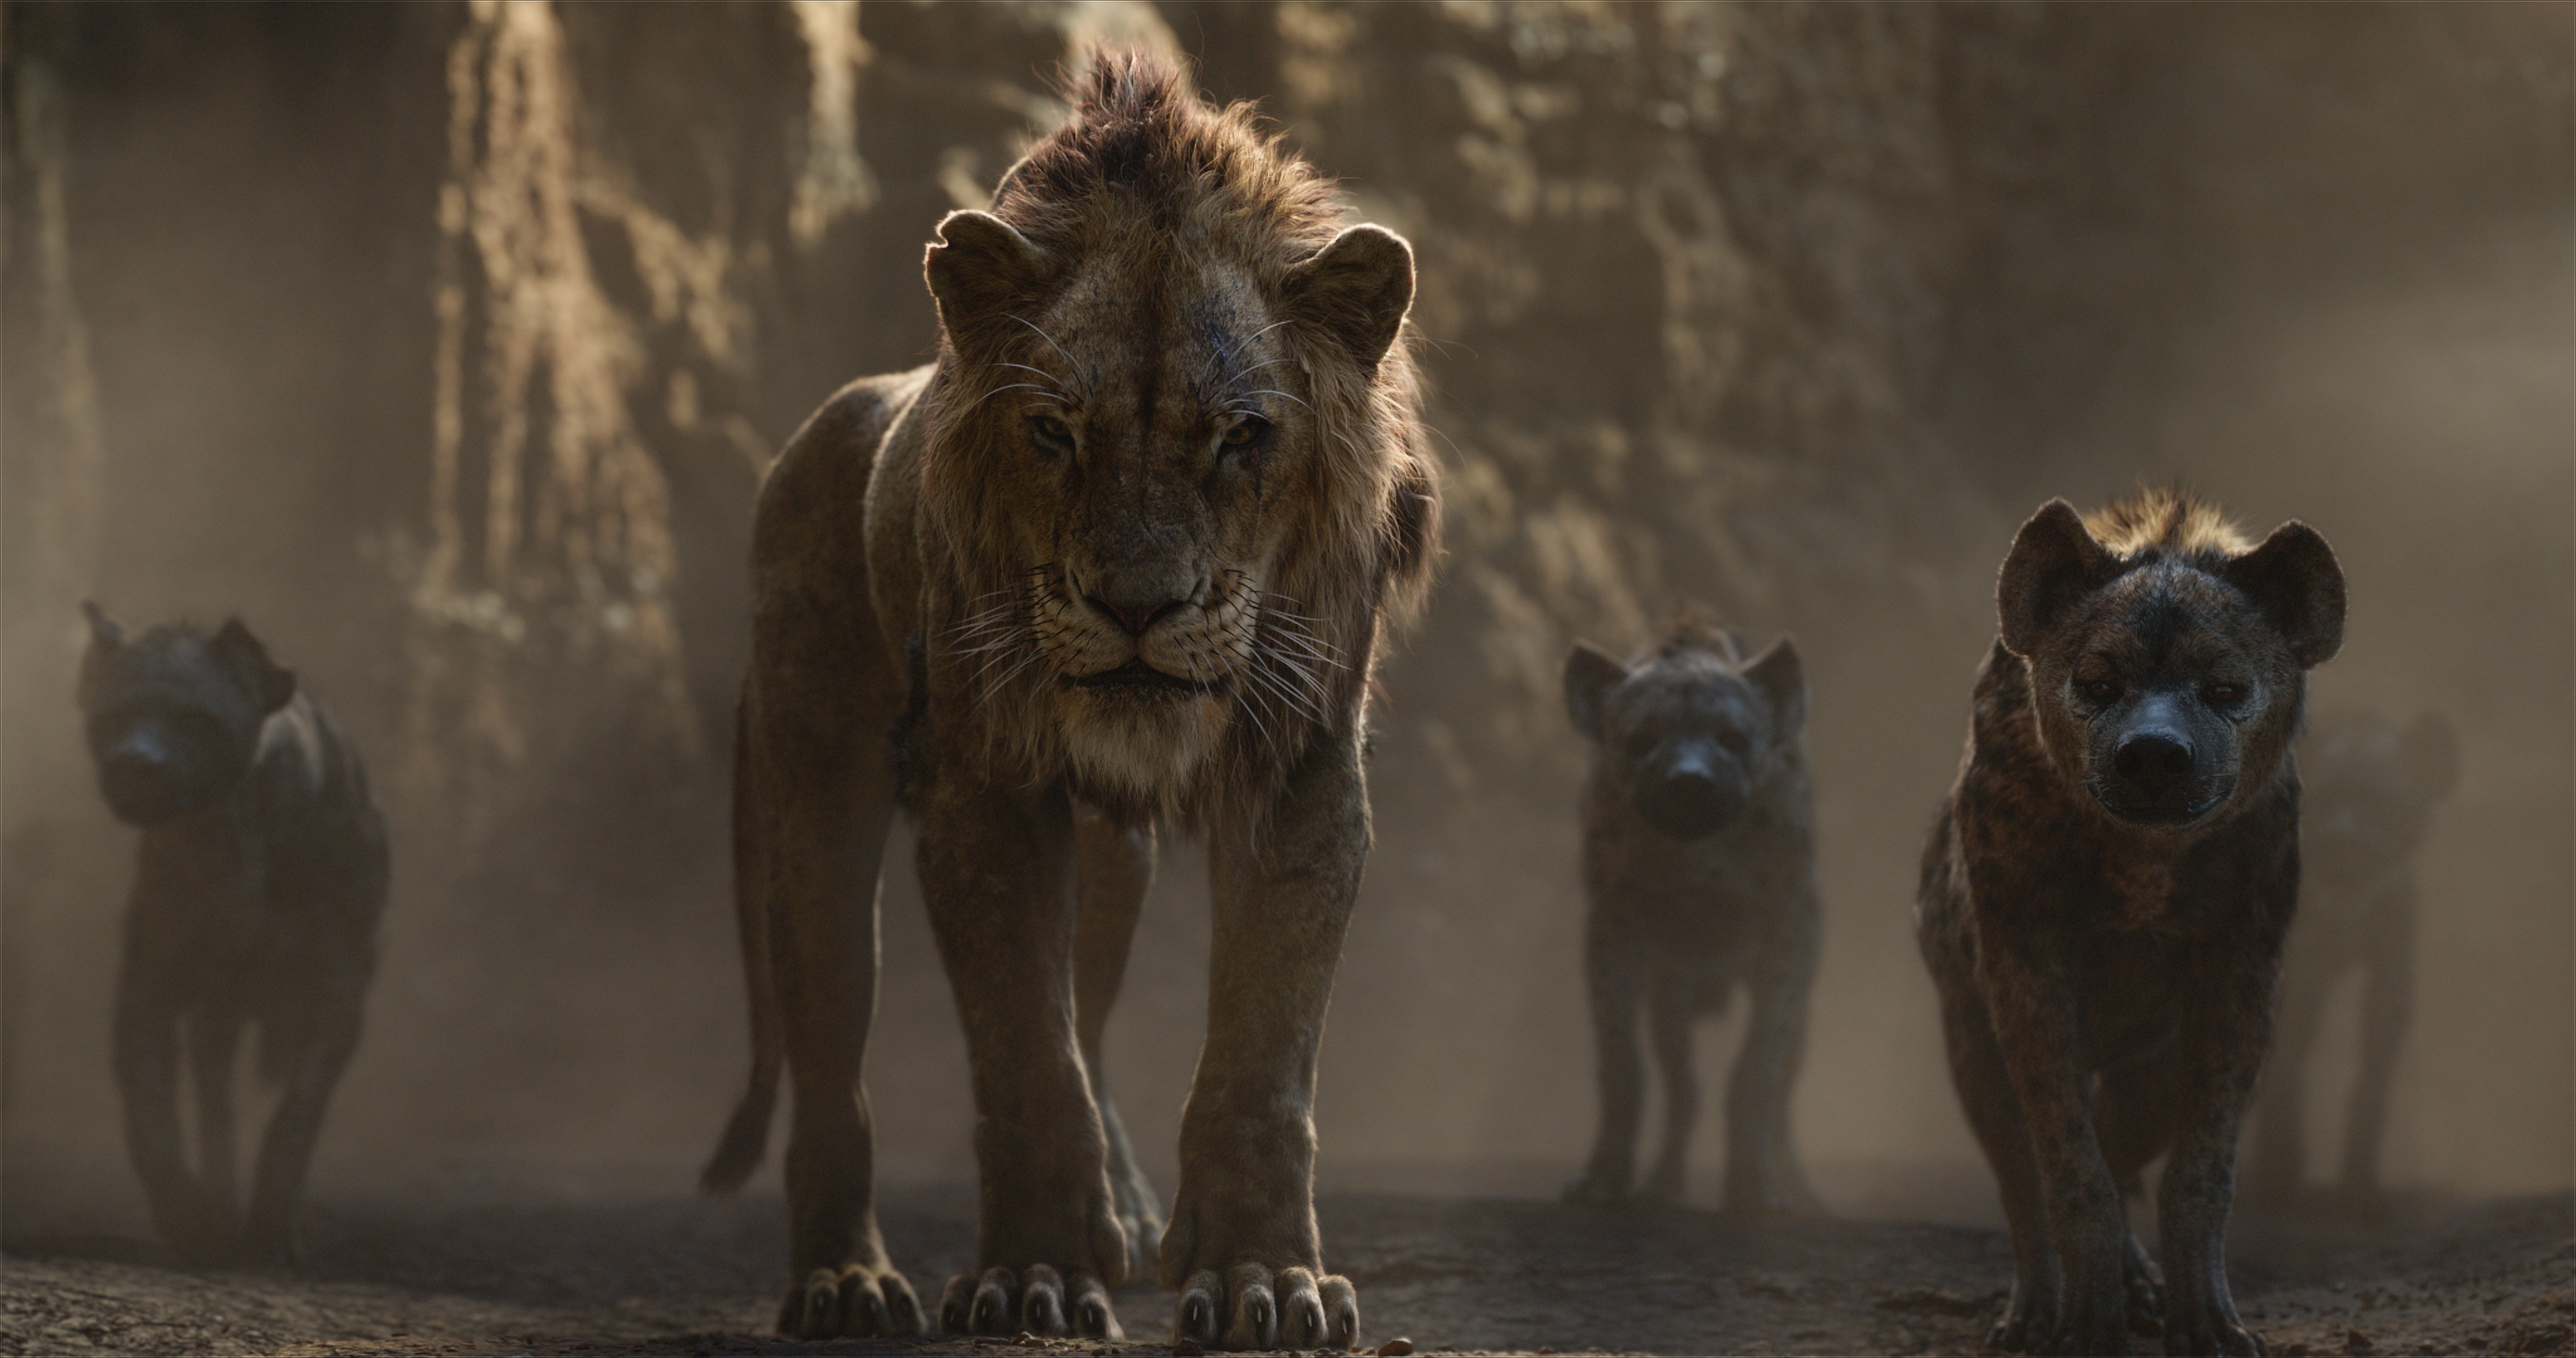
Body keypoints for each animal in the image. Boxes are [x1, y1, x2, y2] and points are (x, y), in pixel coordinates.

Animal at [698, 53, 1438, 1350]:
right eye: (1052, 430)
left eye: (1243, 437)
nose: (1137, 605)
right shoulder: (984, 791)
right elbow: (1024, 1060)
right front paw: (1031, 1277)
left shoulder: (1301, 775)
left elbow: (1258, 1061)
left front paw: (1259, 1280)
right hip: (813, 794)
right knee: (834, 1055)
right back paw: (844, 1282)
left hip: (1111, 860)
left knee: (1088, 1014)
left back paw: (1130, 1212)